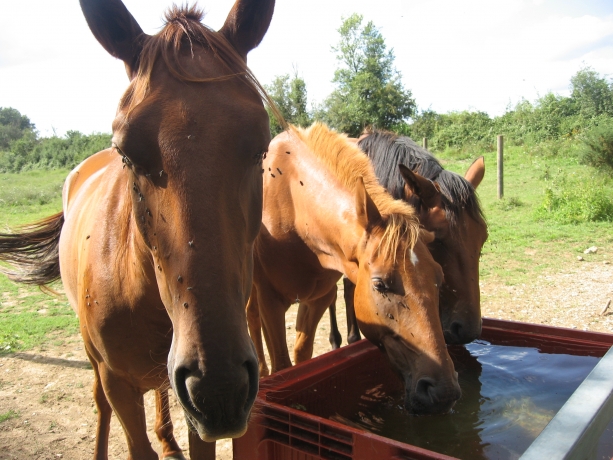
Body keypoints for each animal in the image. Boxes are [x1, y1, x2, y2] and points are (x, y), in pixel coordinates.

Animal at [0, 1, 276, 458]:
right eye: (126, 152)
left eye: (261, 146)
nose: (219, 387)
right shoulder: (120, 387)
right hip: (98, 363)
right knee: (100, 401)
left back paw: (167, 437)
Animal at [245, 124, 460, 416]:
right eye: (380, 284)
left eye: (438, 278)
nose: (443, 391)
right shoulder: (271, 301)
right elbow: (282, 364)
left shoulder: (318, 298)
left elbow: (302, 355)